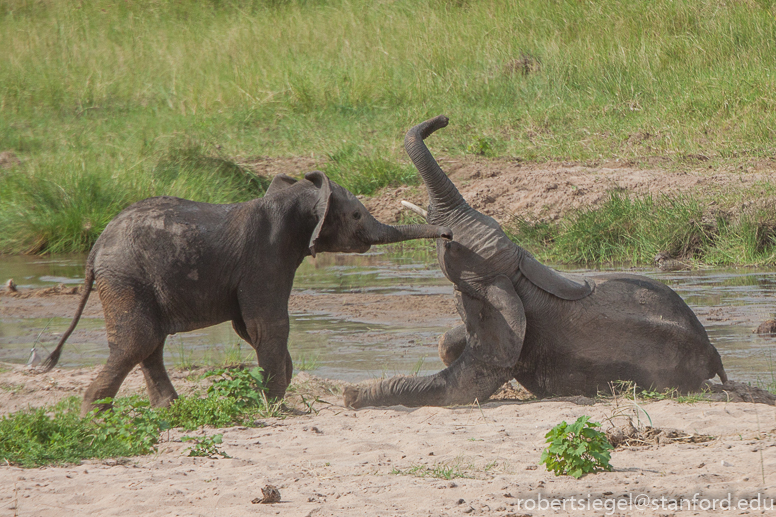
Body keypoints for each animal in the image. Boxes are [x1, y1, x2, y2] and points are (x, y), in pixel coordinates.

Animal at [41, 170, 452, 416]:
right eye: (356, 216)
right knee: (139, 340)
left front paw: (277, 389)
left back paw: (169, 410)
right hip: (126, 276)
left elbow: (248, 327)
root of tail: (95, 247)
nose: (449, 235)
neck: (297, 198)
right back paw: (95, 416)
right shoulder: (266, 256)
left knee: (150, 342)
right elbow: (267, 324)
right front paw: (275, 403)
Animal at [344, 116, 728, 408]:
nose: (443, 119)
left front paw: (353, 395)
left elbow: (462, 386)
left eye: (452, 249)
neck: (516, 272)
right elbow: (449, 342)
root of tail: (713, 352)